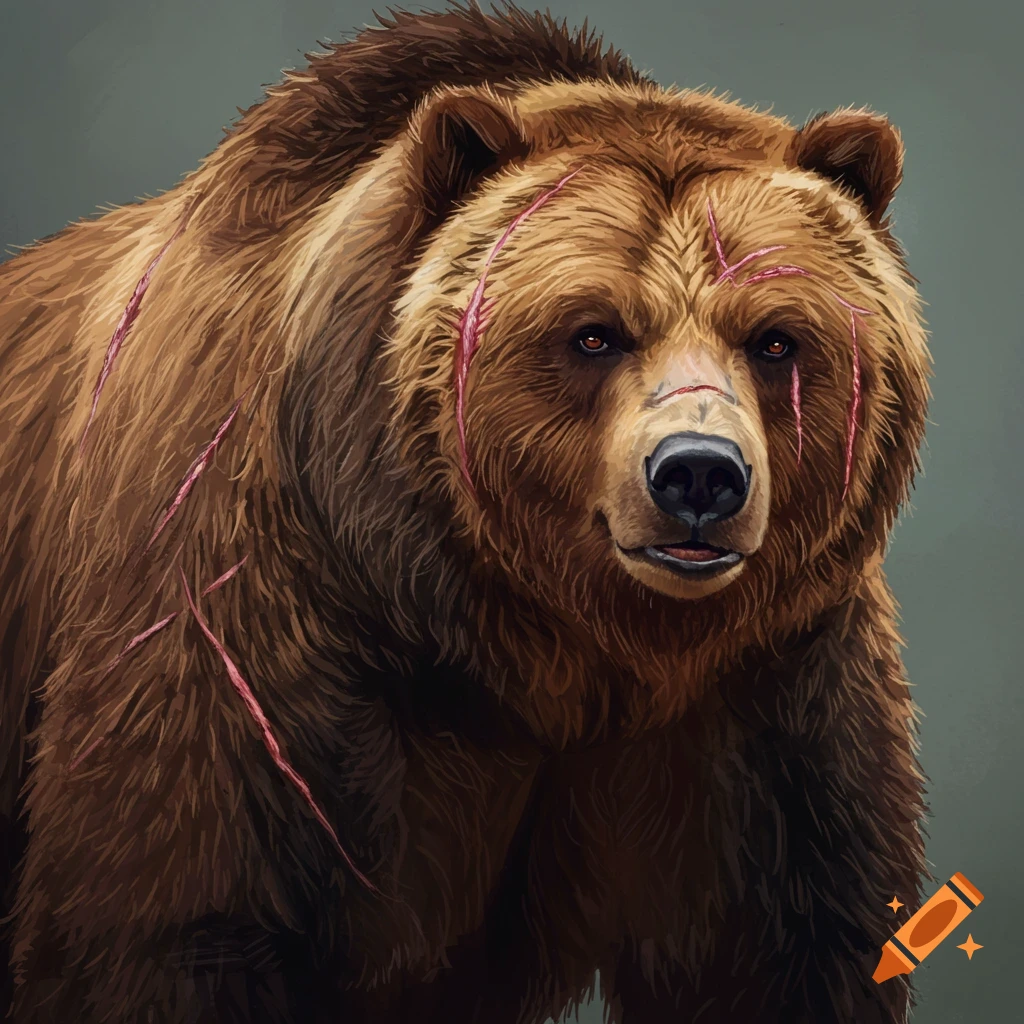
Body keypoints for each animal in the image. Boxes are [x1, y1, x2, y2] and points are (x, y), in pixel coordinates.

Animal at [0, 2, 931, 1022]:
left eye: (775, 338)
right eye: (593, 331)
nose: (698, 474)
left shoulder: (771, 698)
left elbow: (779, 951)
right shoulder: (249, 622)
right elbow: (175, 917)